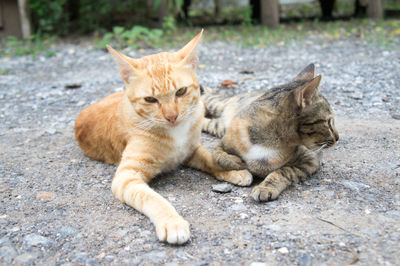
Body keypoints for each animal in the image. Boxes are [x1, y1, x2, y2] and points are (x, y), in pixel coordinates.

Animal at [73, 30, 252, 244]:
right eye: (150, 99)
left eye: (181, 91)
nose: (172, 116)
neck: (176, 133)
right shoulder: (127, 177)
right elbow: (152, 198)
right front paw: (172, 221)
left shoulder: (191, 151)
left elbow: (211, 158)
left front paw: (232, 169)